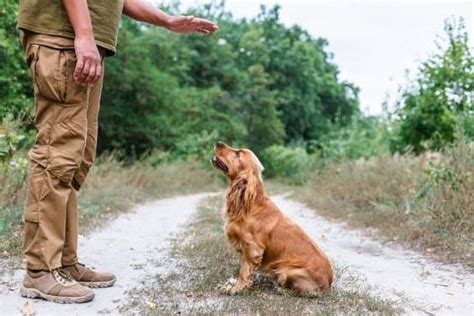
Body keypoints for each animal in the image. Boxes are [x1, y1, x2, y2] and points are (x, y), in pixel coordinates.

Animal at [211, 142, 334, 296]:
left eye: (238, 153)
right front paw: (231, 284)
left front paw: (236, 288)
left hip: (285, 270)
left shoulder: (252, 248)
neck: (251, 203)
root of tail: (329, 284)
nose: (218, 143)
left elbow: (244, 271)